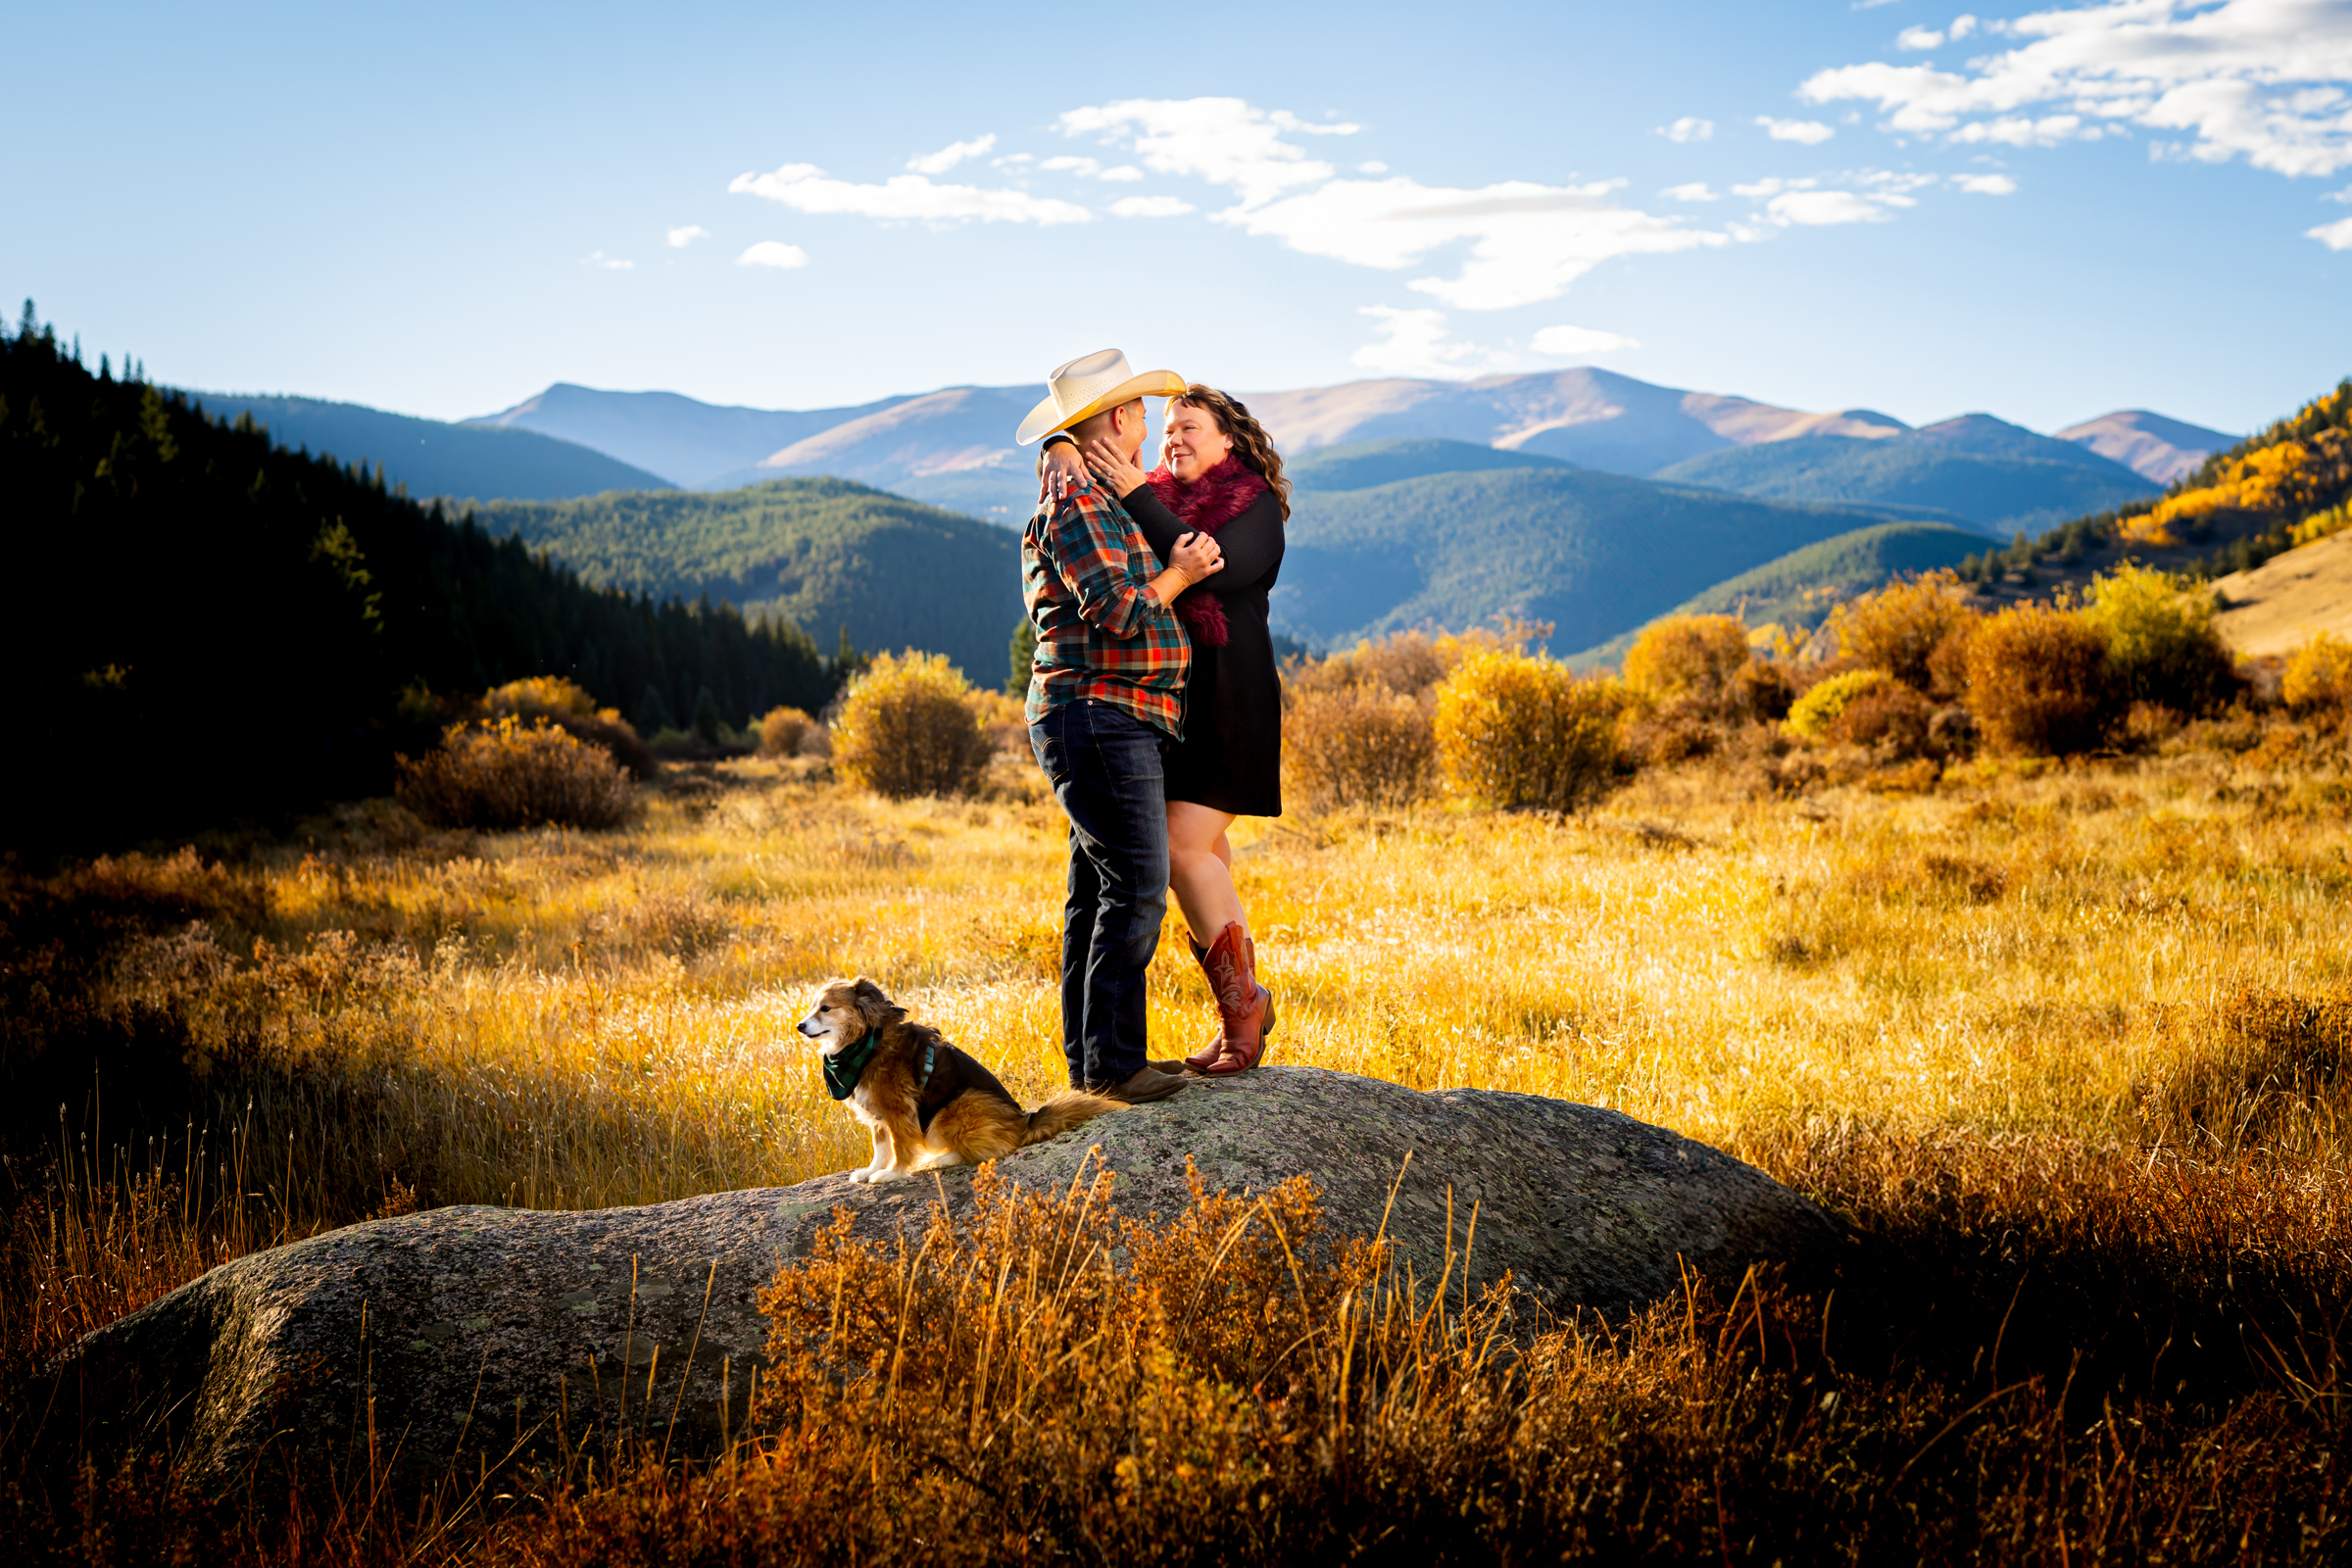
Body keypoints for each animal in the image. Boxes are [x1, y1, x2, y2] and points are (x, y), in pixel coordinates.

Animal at [795, 973, 1124, 1184]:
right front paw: (871, 1170)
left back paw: (943, 1158)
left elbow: (900, 1146)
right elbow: (881, 1147)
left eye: (826, 1008)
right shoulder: (877, 1112)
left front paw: (893, 1173)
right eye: (812, 1007)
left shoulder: (898, 1109)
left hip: (955, 1108)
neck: (864, 1042)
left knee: (991, 1151)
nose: (799, 1025)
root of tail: (1023, 1122)